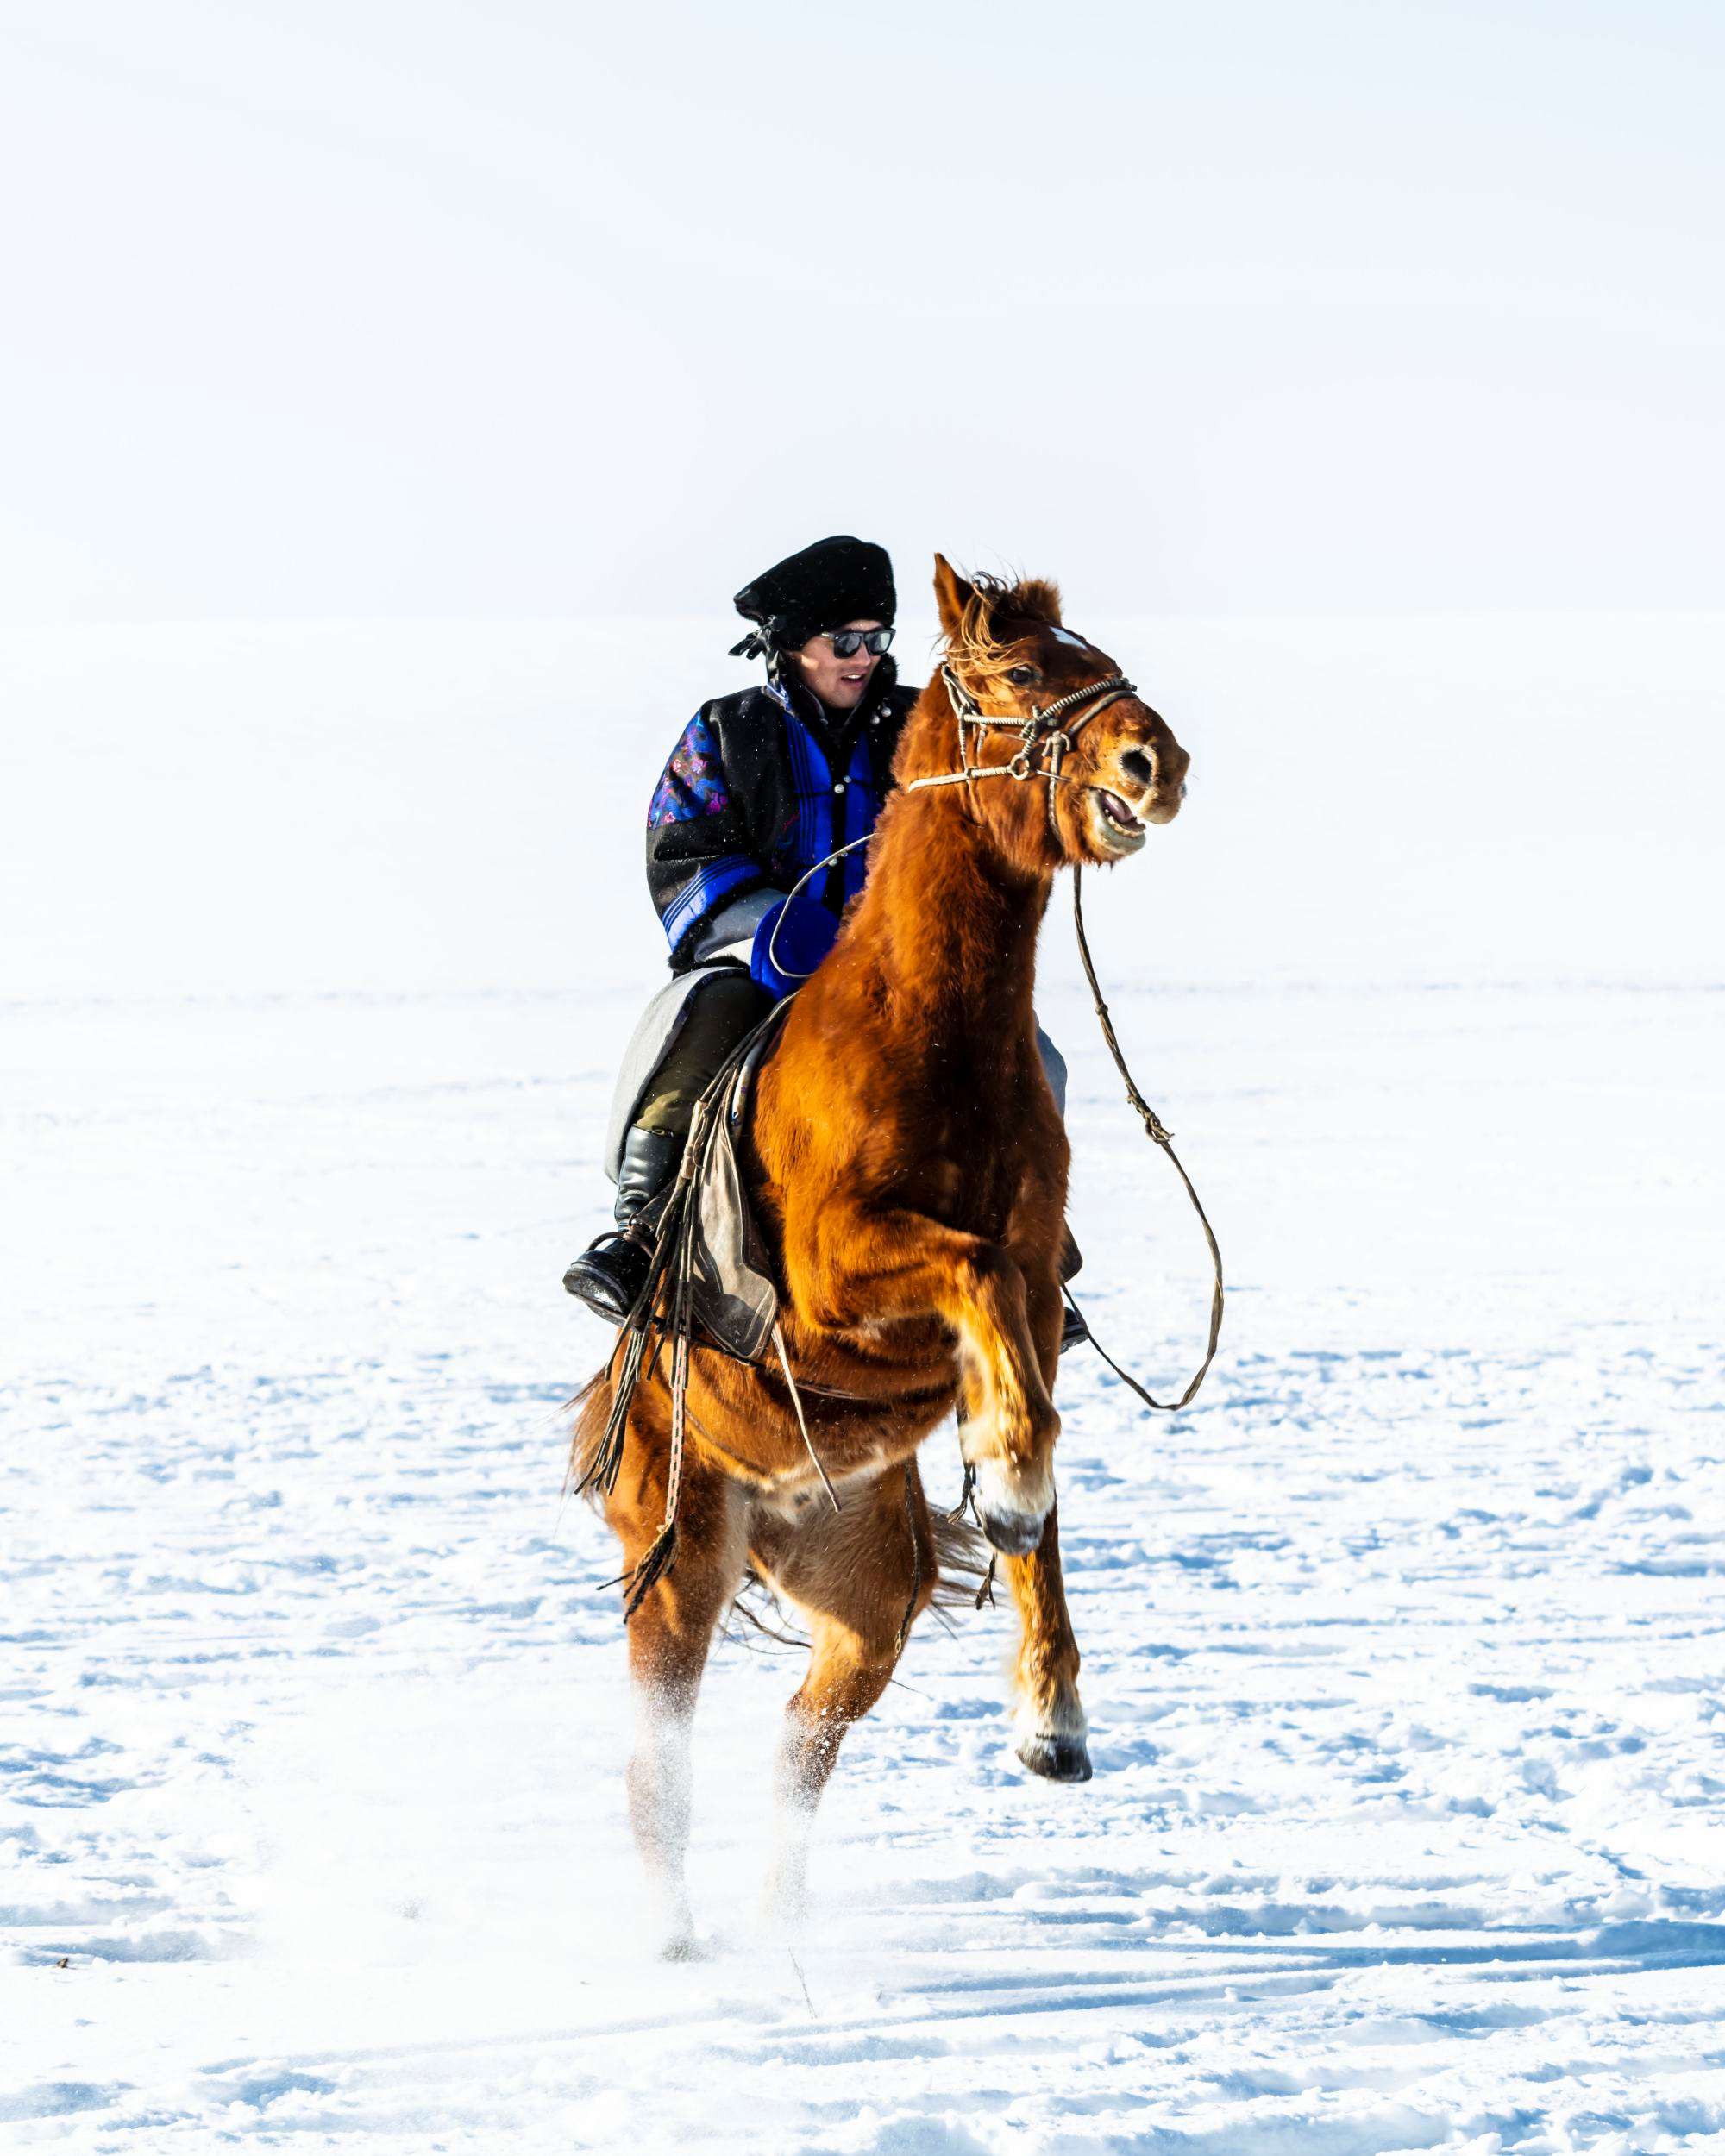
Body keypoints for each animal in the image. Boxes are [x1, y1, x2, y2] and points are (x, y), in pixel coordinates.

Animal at [574, 556, 1190, 1958]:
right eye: (1014, 675)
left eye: (1096, 658)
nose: (1156, 761)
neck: (925, 1035)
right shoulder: (838, 1280)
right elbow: (968, 1284)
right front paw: (1006, 1478)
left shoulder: (1033, 1272)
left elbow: (1026, 1367)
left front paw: (1050, 1716)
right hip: (678, 1565)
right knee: (657, 1763)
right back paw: (675, 1940)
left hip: (865, 1599)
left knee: (801, 1746)